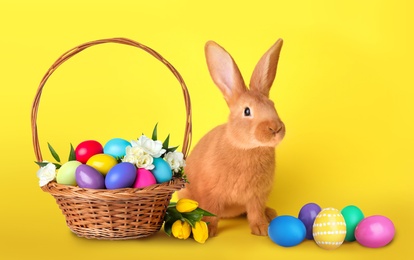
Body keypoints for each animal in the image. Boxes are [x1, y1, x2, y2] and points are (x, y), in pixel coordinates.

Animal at [180, 39, 286, 238]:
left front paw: (262, 229)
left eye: (272, 105)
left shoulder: (256, 196)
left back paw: (270, 214)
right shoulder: (212, 194)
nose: (275, 128)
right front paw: (209, 231)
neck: (247, 147)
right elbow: (212, 212)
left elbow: (255, 212)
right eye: (247, 111)